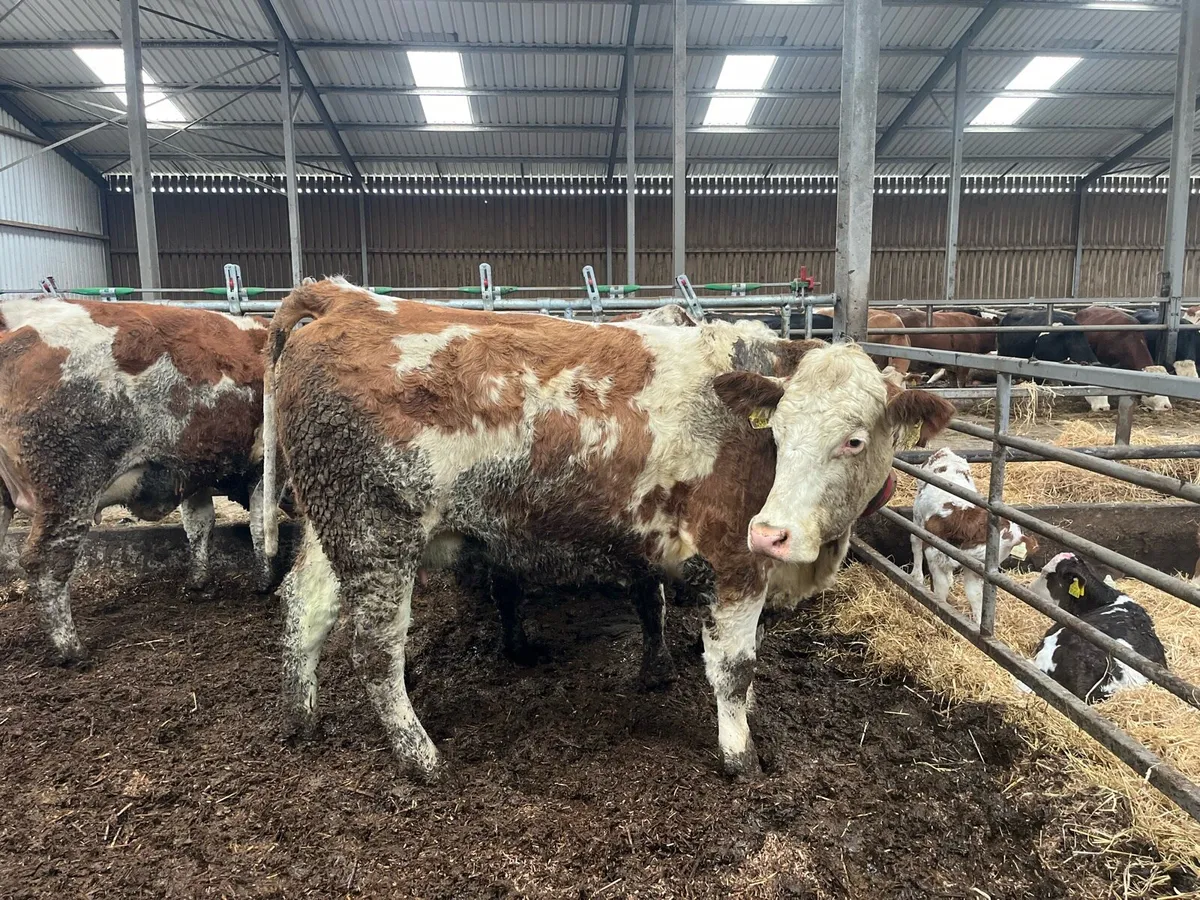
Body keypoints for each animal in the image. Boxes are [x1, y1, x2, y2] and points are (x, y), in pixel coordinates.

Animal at [0, 297, 274, 663]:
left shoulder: (191, 471)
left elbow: (199, 524)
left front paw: (199, 580)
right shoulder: (262, 464)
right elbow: (260, 524)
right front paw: (265, 580)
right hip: (69, 490)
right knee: (47, 562)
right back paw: (72, 648)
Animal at [262, 278, 954, 779]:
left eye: (854, 439)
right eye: (778, 433)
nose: (772, 533)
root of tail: (343, 296)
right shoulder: (734, 562)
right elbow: (735, 666)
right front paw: (740, 754)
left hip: (336, 528)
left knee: (303, 608)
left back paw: (303, 718)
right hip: (378, 533)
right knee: (376, 650)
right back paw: (420, 756)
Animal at [911, 448, 1037, 623]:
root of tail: (944, 451)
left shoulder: (973, 567)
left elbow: (974, 594)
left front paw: (977, 623)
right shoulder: (933, 553)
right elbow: (941, 589)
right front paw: (938, 616)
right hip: (917, 515)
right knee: (915, 543)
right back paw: (916, 576)